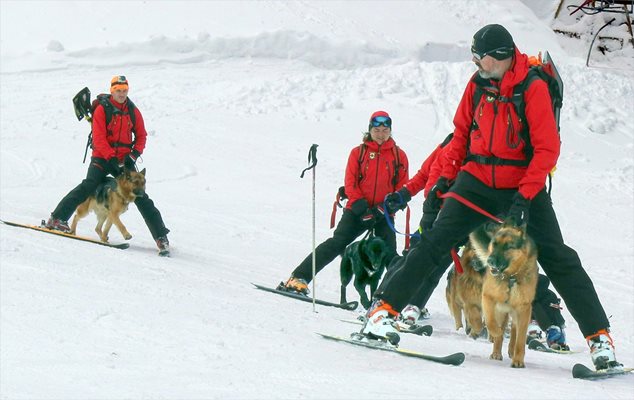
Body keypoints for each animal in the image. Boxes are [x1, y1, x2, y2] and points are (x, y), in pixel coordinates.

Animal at [472, 220, 536, 368]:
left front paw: (518, 360)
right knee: (500, 330)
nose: (490, 261)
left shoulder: (524, 309)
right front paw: (495, 333)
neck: (510, 277)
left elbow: (520, 339)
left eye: (508, 247)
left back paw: (511, 350)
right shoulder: (488, 298)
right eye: (494, 244)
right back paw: (496, 351)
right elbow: (490, 322)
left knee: (514, 330)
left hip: (516, 313)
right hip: (501, 311)